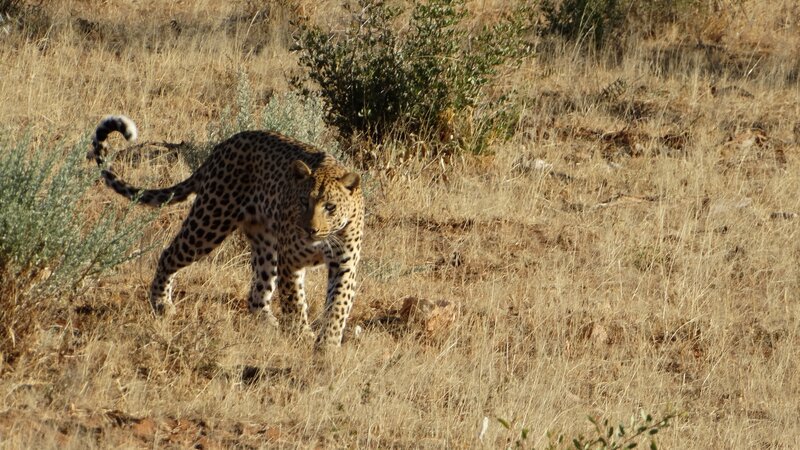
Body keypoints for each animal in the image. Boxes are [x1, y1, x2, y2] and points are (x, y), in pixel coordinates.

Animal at [89, 114, 364, 346]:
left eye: (330, 207)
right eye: (303, 202)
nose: (310, 230)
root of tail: (223, 145)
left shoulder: (344, 264)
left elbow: (338, 304)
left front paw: (328, 344)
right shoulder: (291, 261)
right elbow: (294, 300)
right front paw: (301, 334)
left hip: (264, 242)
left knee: (258, 290)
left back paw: (266, 322)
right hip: (210, 221)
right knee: (169, 254)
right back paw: (161, 303)